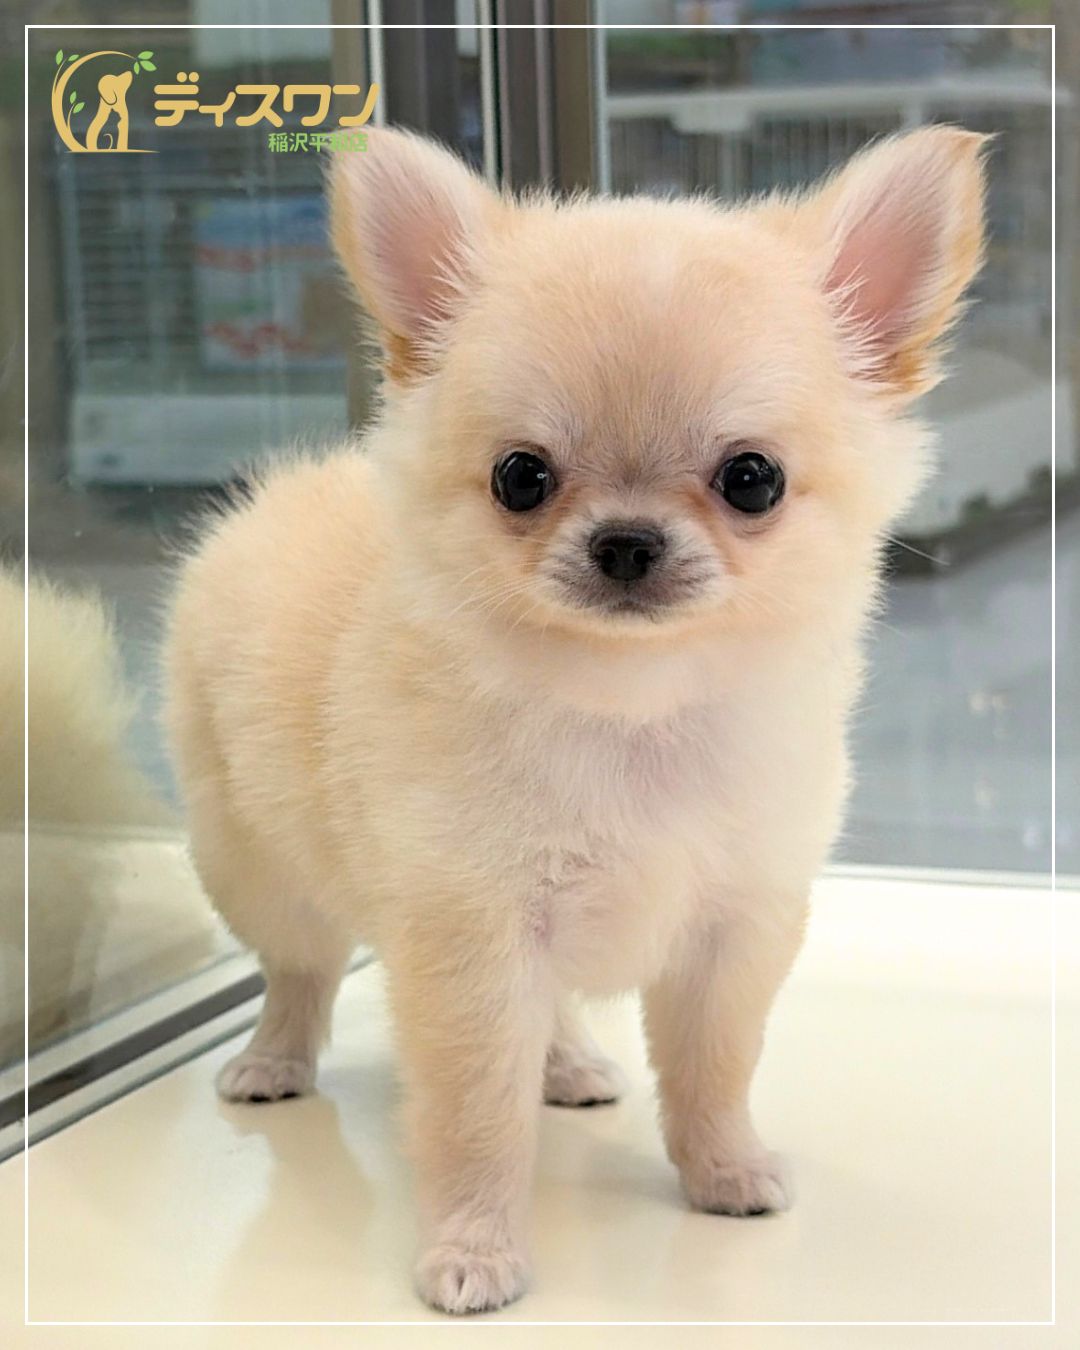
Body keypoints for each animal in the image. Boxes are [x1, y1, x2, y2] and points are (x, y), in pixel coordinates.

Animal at [164, 125, 986, 1314]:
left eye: (752, 480)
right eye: (521, 477)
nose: (627, 541)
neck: (631, 714)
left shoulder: (734, 928)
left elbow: (712, 1069)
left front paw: (723, 1170)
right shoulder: (472, 942)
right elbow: (476, 1118)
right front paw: (474, 1249)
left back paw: (568, 1064)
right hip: (256, 869)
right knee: (299, 971)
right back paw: (276, 1060)